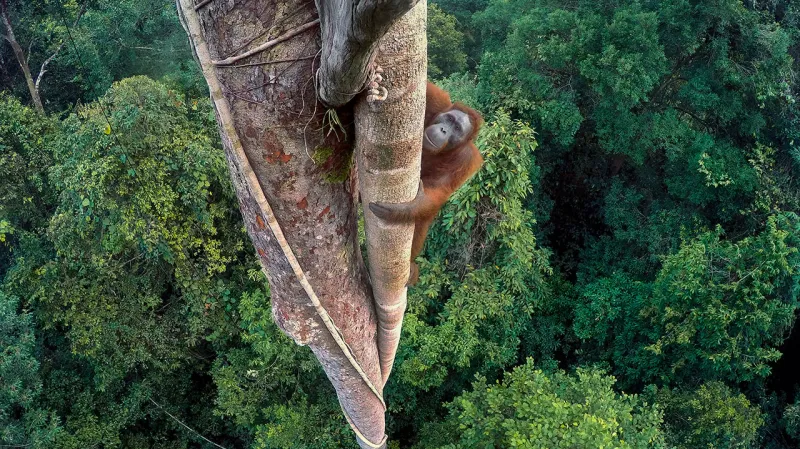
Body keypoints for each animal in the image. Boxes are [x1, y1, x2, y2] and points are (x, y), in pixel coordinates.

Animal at [369, 81, 484, 285]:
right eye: (448, 119)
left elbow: (439, 190)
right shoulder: (437, 102)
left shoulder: (467, 159)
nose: (444, 129)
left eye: (457, 128)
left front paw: (407, 207)